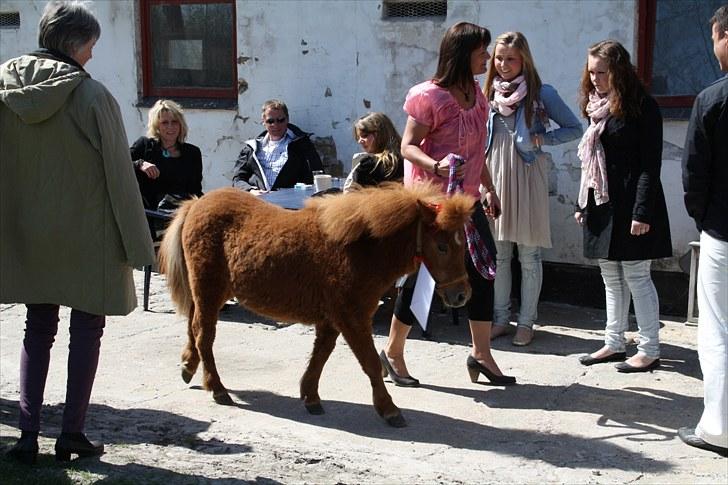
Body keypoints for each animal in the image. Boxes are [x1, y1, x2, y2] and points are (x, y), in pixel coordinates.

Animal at [159, 183, 474, 426]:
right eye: (442, 246)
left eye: (464, 244)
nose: (462, 295)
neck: (359, 251)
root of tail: (196, 203)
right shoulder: (352, 317)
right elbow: (371, 363)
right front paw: (388, 409)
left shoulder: (331, 319)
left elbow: (321, 355)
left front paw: (310, 396)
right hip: (209, 290)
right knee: (204, 335)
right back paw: (217, 388)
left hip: (210, 292)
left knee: (192, 326)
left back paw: (188, 366)